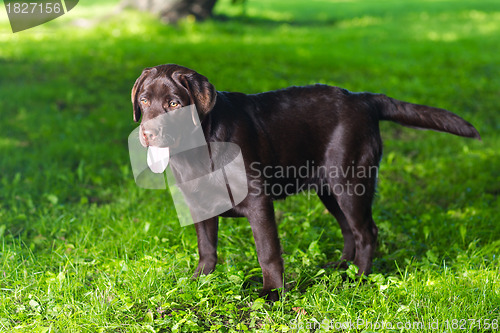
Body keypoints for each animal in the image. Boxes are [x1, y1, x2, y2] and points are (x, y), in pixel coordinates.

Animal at [130, 63, 480, 300]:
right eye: (144, 101)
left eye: (174, 104)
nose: (147, 134)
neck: (198, 146)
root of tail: (363, 99)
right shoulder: (199, 202)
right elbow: (206, 249)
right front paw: (199, 281)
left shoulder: (258, 202)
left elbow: (268, 252)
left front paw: (272, 294)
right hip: (329, 189)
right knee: (349, 230)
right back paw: (341, 267)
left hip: (350, 182)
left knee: (366, 232)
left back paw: (359, 279)